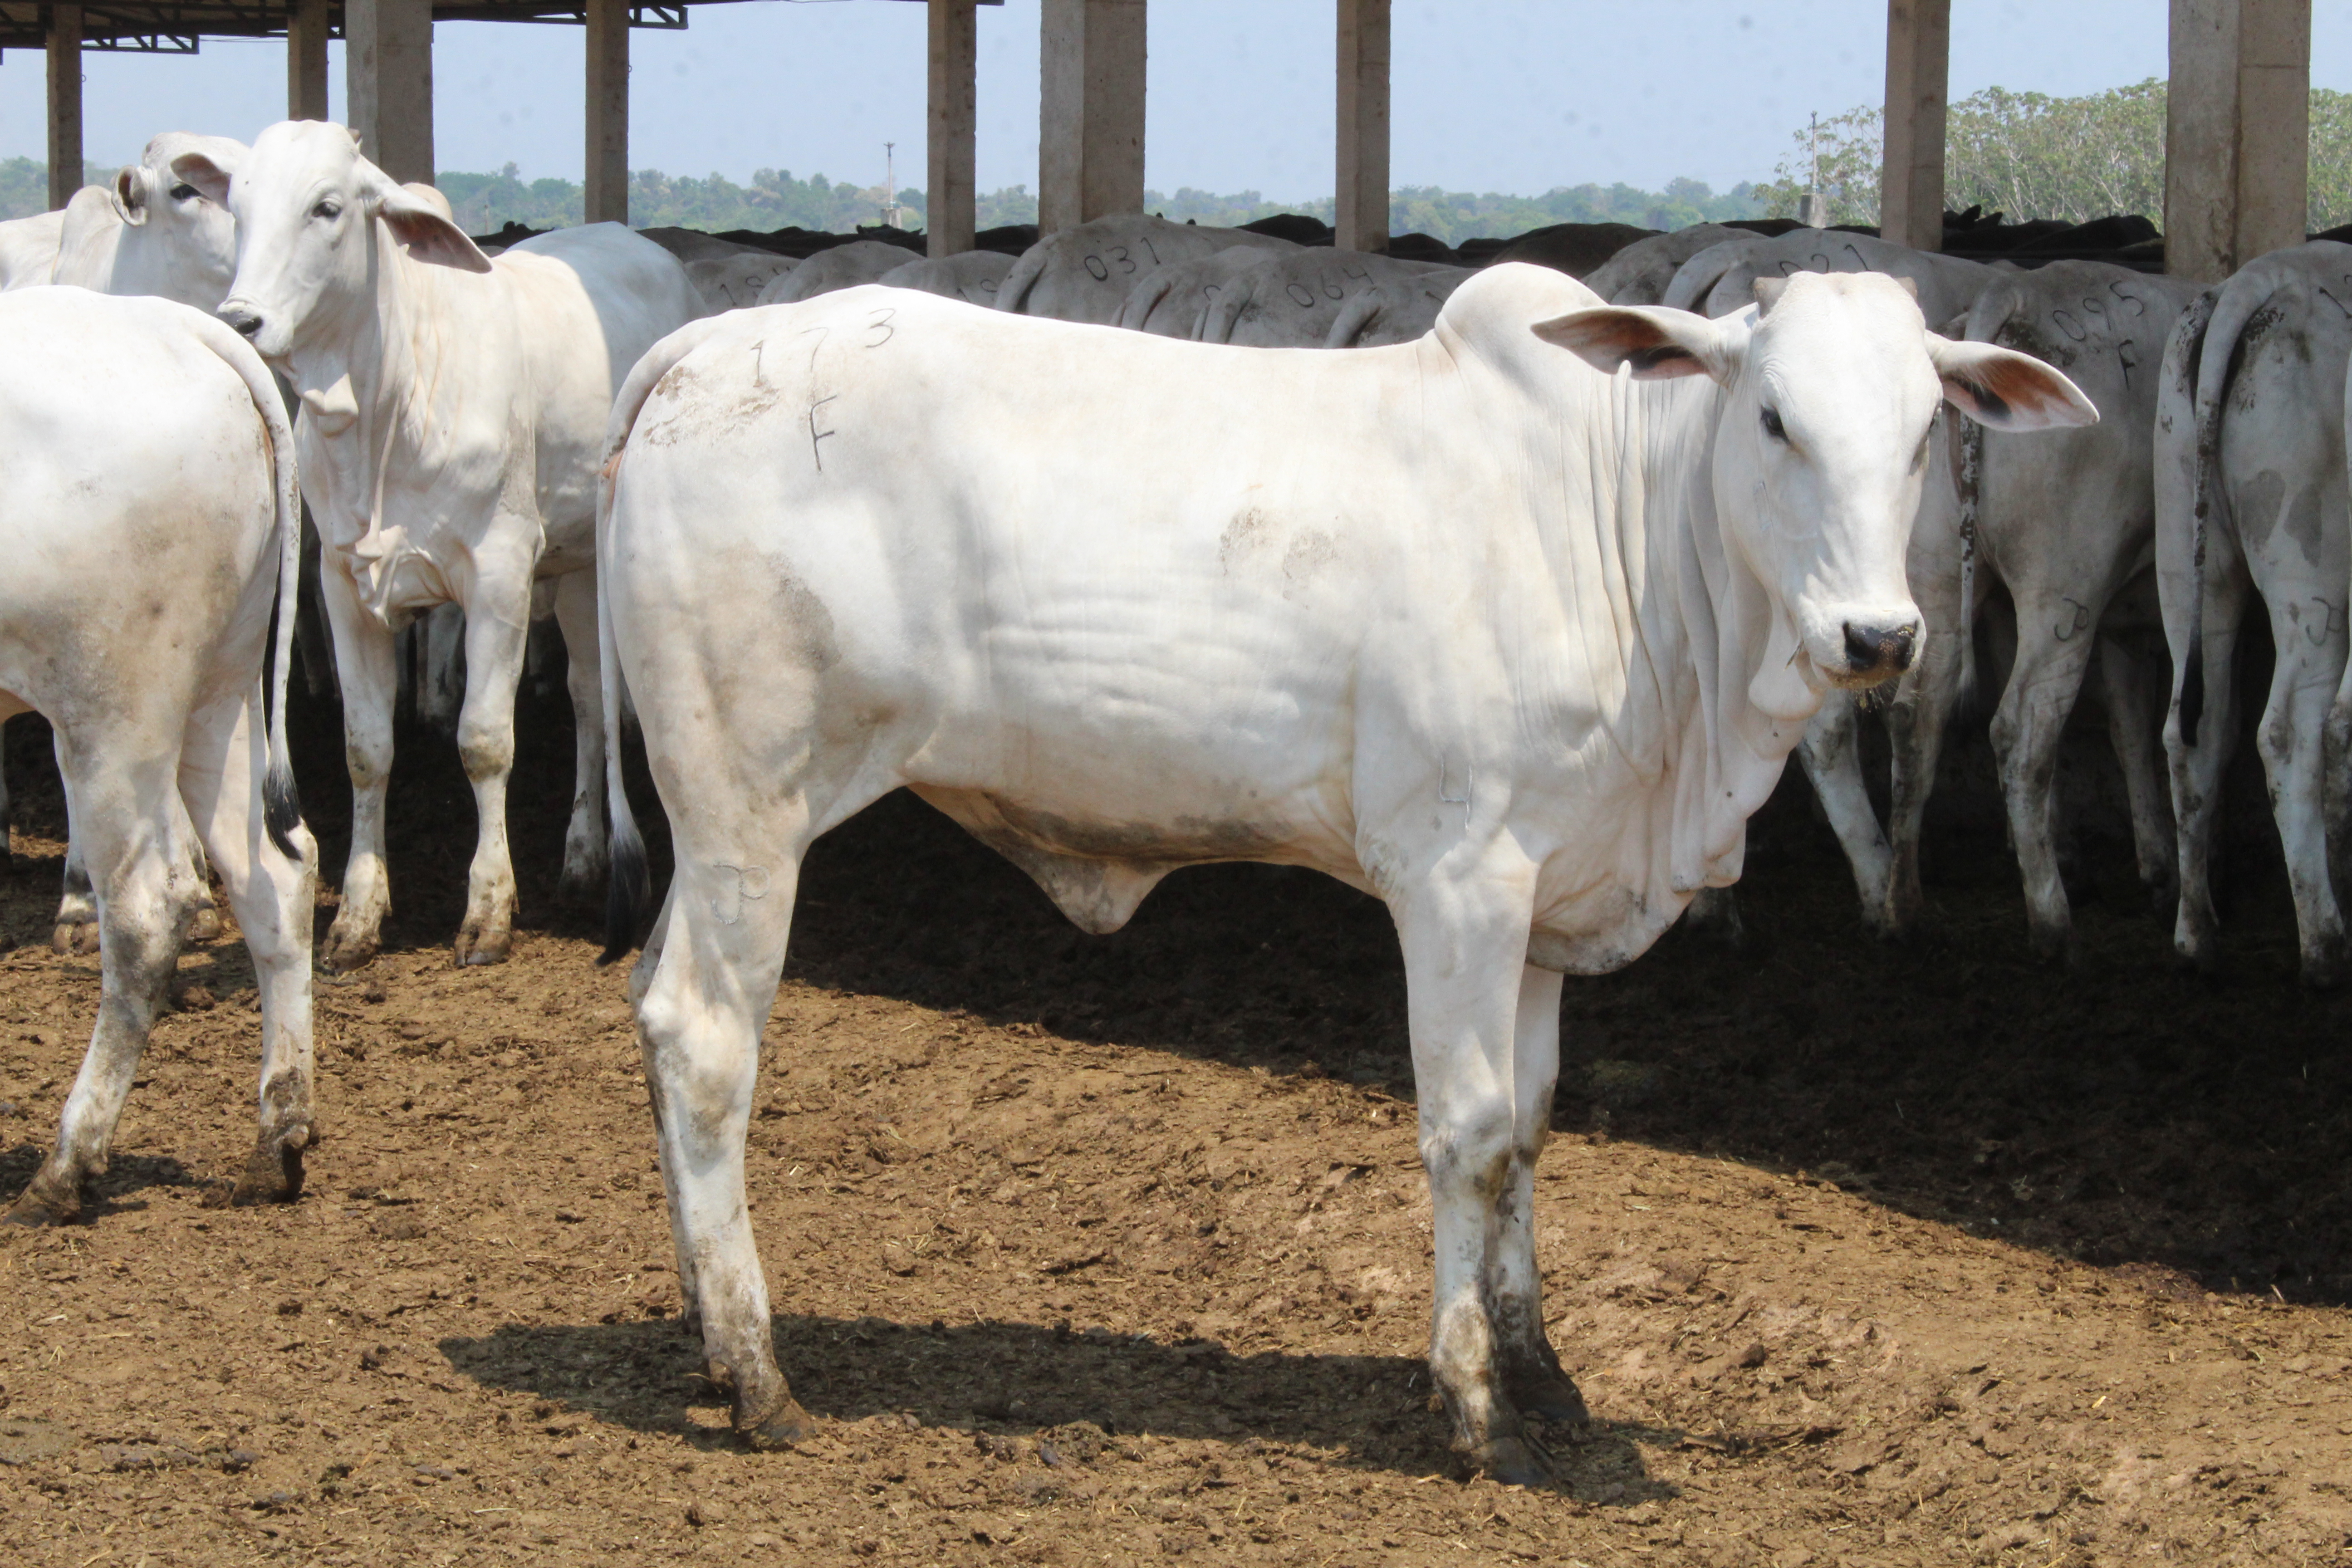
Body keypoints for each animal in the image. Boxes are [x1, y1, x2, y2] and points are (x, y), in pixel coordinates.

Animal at [0, 294, 317, 1222]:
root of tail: (174, 322)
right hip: (222, 689)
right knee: (274, 876)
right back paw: (276, 1141)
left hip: (114, 709)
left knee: (148, 913)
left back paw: (63, 1169)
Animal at [174, 122, 696, 968]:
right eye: (239, 207)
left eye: (327, 208)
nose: (242, 321)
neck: (386, 409)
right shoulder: (343, 584)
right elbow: (366, 748)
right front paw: (358, 916)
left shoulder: (499, 574)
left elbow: (484, 741)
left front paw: (486, 912)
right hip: (575, 565)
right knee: (587, 696)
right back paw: (584, 856)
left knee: (592, 700)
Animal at [593, 263, 2098, 1476]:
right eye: (1776, 417)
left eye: (1925, 430)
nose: (1879, 636)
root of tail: (712, 346)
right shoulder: (1460, 878)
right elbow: (1468, 1131)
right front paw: (1476, 1408)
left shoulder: (1545, 898)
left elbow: (1532, 1128)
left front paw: (1543, 1373)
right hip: (750, 801)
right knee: (711, 1038)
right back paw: (761, 1375)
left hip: (709, 823)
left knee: (658, 1010)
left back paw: (705, 1338)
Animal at [2154, 242, 2352, 982]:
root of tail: (2260, 280)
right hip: (2314, 576)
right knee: (2297, 729)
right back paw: (2324, 941)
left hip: (2188, 554)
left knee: (2196, 728)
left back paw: (2196, 933)